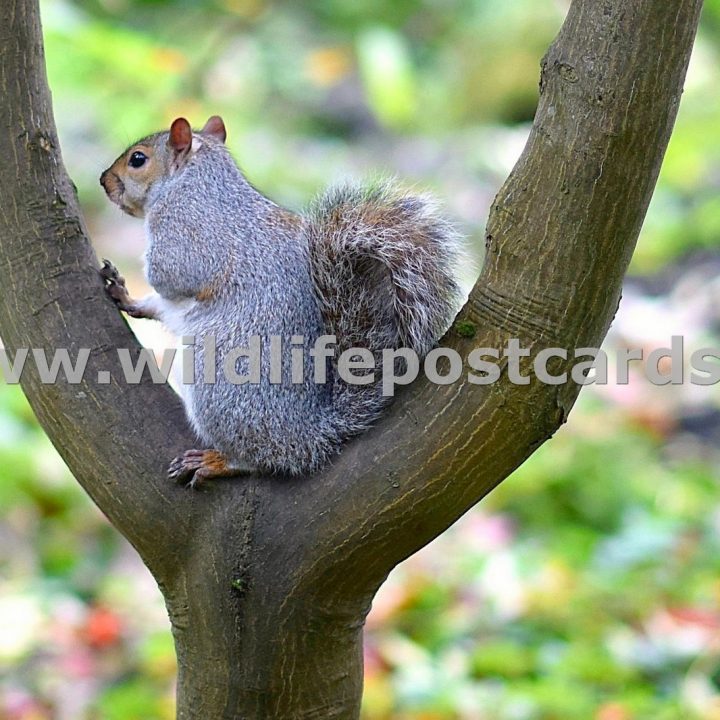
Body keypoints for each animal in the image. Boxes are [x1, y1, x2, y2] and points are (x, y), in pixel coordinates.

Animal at [98, 116, 462, 484]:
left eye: (138, 159)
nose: (103, 181)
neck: (198, 178)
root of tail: (307, 435)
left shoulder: (186, 232)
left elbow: (173, 278)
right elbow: (161, 305)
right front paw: (126, 296)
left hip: (216, 382)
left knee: (263, 458)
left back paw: (218, 462)